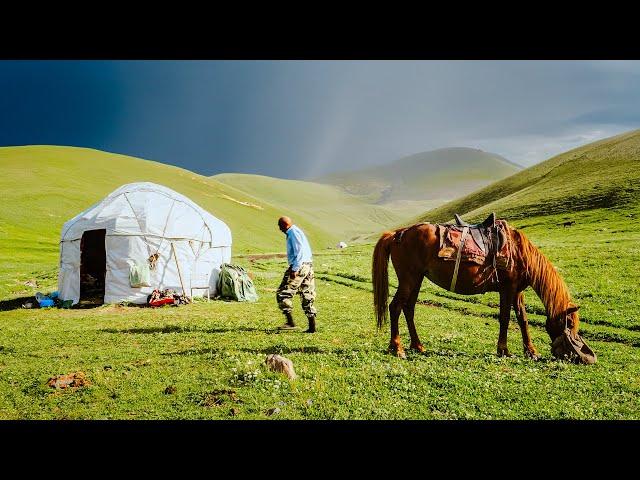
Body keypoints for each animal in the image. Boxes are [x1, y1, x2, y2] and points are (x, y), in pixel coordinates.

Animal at [376, 219, 592, 362]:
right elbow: (505, 318)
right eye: (570, 324)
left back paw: (418, 346)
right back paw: (397, 348)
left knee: (409, 308)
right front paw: (503, 350)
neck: (519, 252)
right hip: (409, 279)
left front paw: (531, 351)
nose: (579, 357)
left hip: (417, 279)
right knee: (395, 307)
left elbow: (522, 319)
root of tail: (397, 234)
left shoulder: (517, 291)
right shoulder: (507, 288)